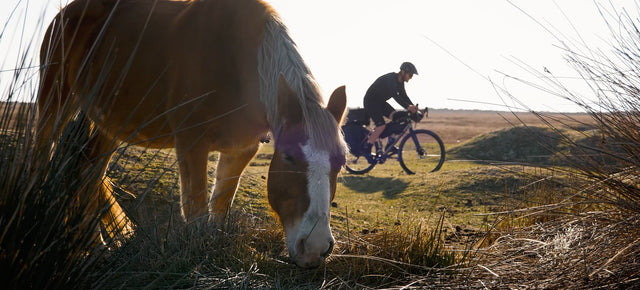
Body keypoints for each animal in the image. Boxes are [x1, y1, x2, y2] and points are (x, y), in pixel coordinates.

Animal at [37, 0, 348, 268]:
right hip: (55, 99)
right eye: (289, 156)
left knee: (88, 171)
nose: (315, 247)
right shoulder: (191, 143)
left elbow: (219, 207)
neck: (236, 59)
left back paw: (98, 245)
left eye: (341, 162)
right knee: (45, 152)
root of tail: (65, 13)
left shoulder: (240, 150)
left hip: (109, 122)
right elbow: (196, 210)